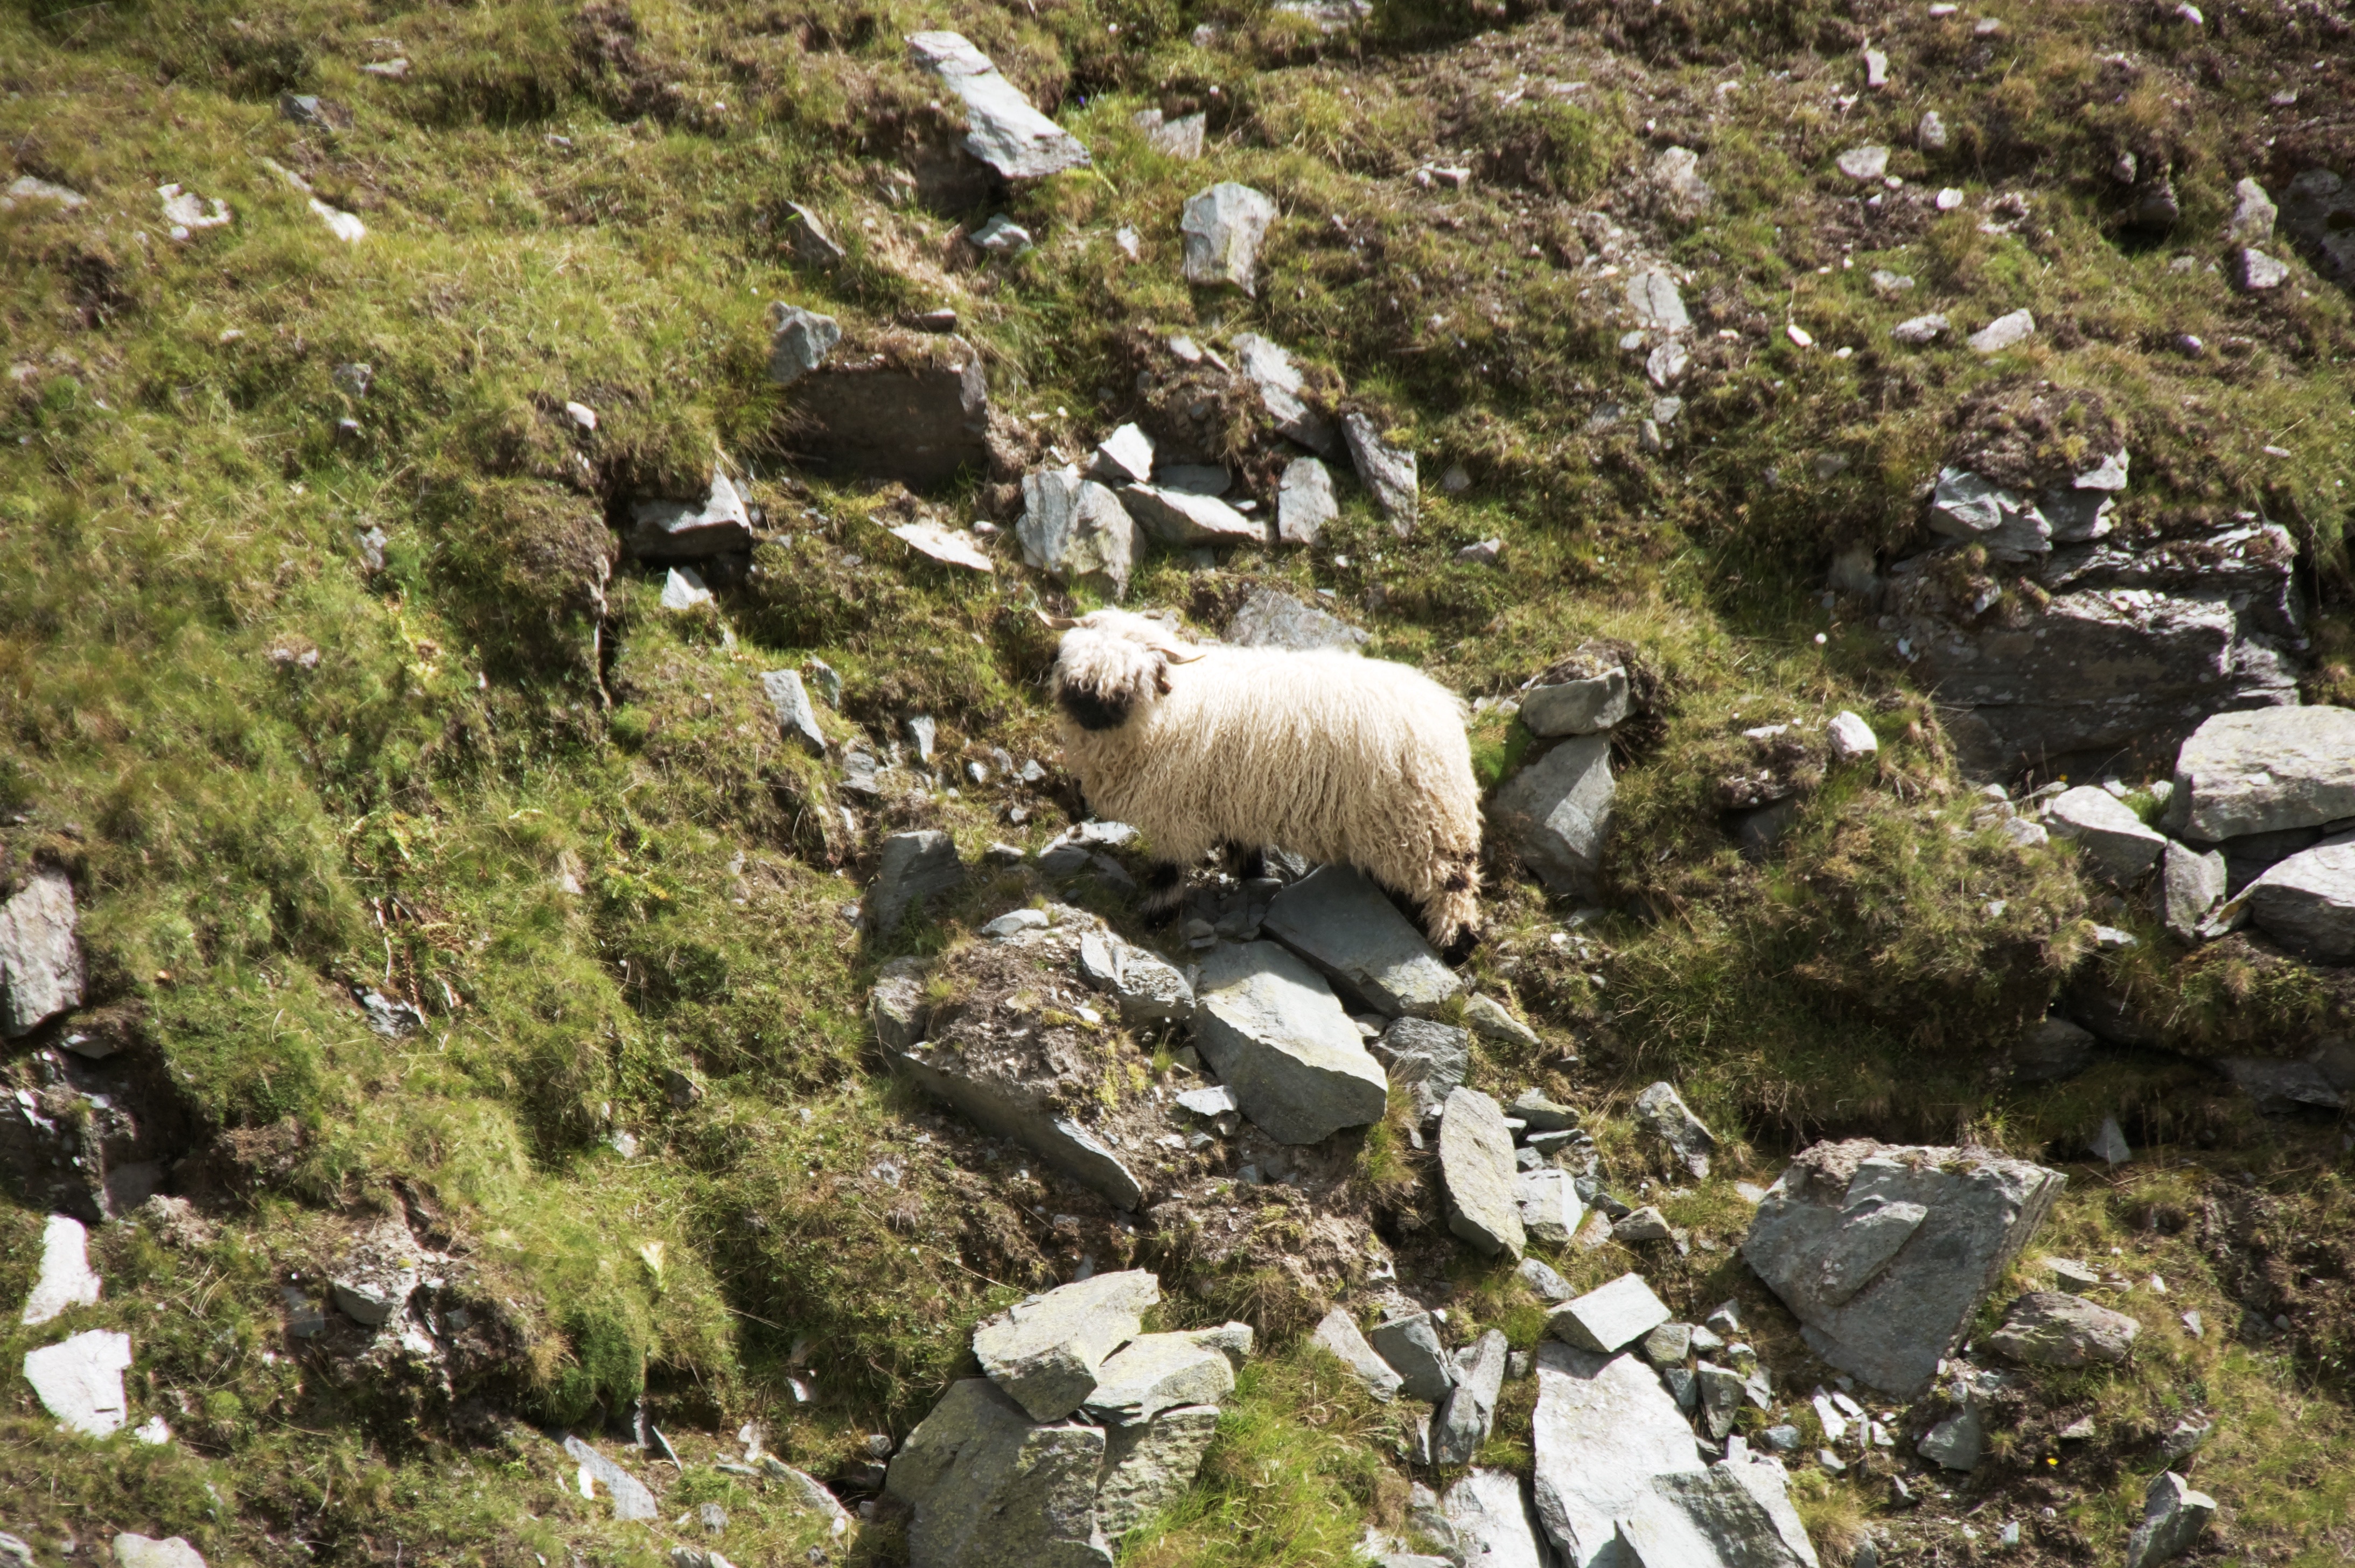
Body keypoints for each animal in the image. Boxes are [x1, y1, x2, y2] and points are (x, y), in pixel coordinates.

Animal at [1046, 607, 1484, 949]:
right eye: (1073, 673)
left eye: (1128, 684)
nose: (1089, 714)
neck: (1170, 712)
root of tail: (1445, 715)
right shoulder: (1234, 801)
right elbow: (1244, 854)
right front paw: (1251, 878)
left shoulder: (1178, 813)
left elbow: (1169, 872)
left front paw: (1156, 917)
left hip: (1425, 824)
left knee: (1454, 886)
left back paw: (1456, 944)